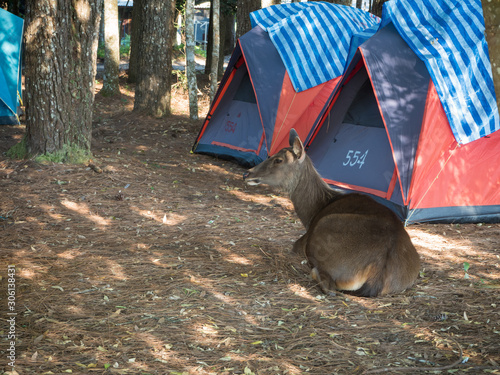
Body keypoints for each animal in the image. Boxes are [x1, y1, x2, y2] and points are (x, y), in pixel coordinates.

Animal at [244, 131, 420, 298]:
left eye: (278, 160)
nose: (247, 173)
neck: (313, 212)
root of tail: (376, 275)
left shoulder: (301, 242)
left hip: (325, 231)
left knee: (329, 287)